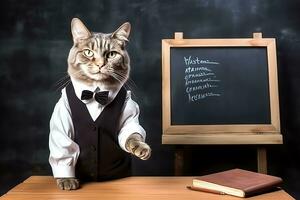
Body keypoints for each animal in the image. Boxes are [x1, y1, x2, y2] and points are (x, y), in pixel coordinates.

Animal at [49, 18, 152, 190]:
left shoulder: (128, 109)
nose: (100, 64)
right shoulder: (62, 114)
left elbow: (132, 134)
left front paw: (140, 147)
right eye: (88, 52)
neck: (96, 92)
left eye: (111, 54)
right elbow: (64, 149)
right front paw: (66, 179)